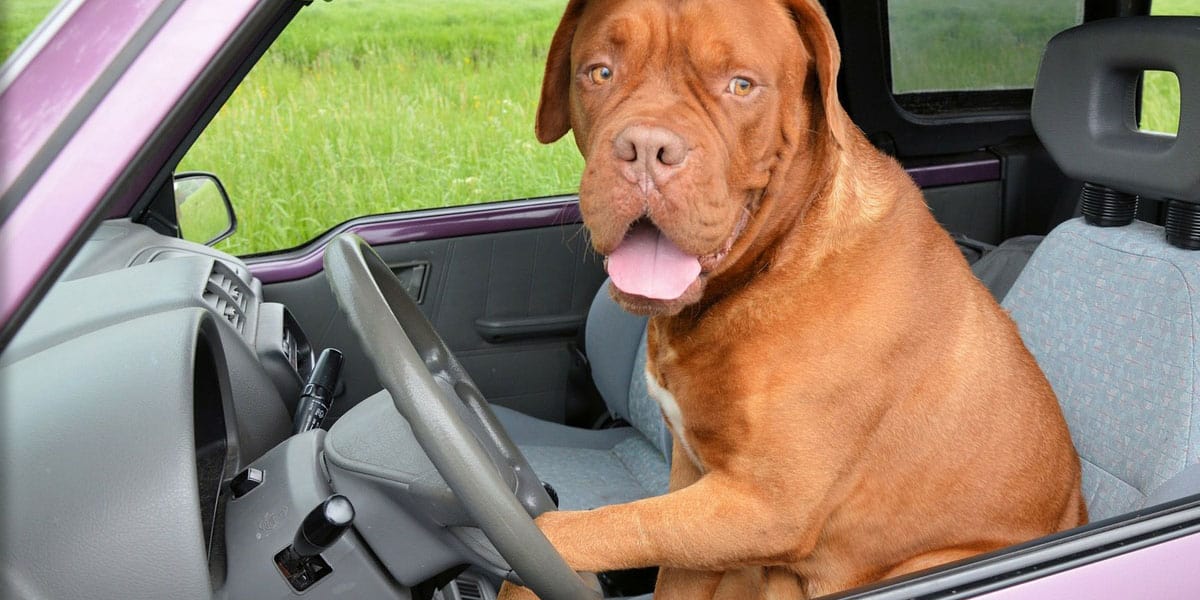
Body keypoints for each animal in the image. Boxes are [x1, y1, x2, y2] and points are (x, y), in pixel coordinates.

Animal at [496, 1, 1089, 595]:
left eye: (740, 85)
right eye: (599, 72)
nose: (644, 149)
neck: (775, 259)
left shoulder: (766, 505)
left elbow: (589, 528)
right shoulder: (691, 476)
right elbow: (662, 556)